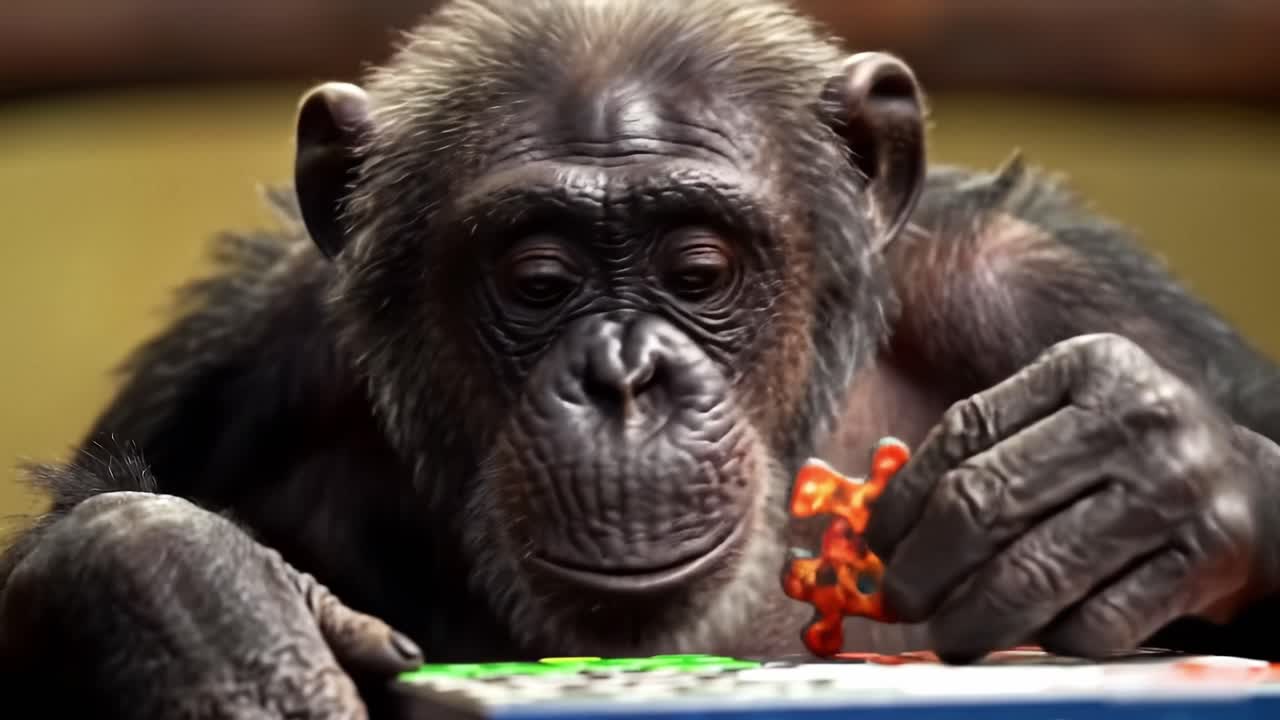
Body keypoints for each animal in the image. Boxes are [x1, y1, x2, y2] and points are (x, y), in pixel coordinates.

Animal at [4, 0, 1280, 717]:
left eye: (699, 271)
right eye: (536, 281)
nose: (623, 375)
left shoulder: (1049, 291)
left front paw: (1134, 465)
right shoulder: (242, 365)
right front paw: (180, 595)